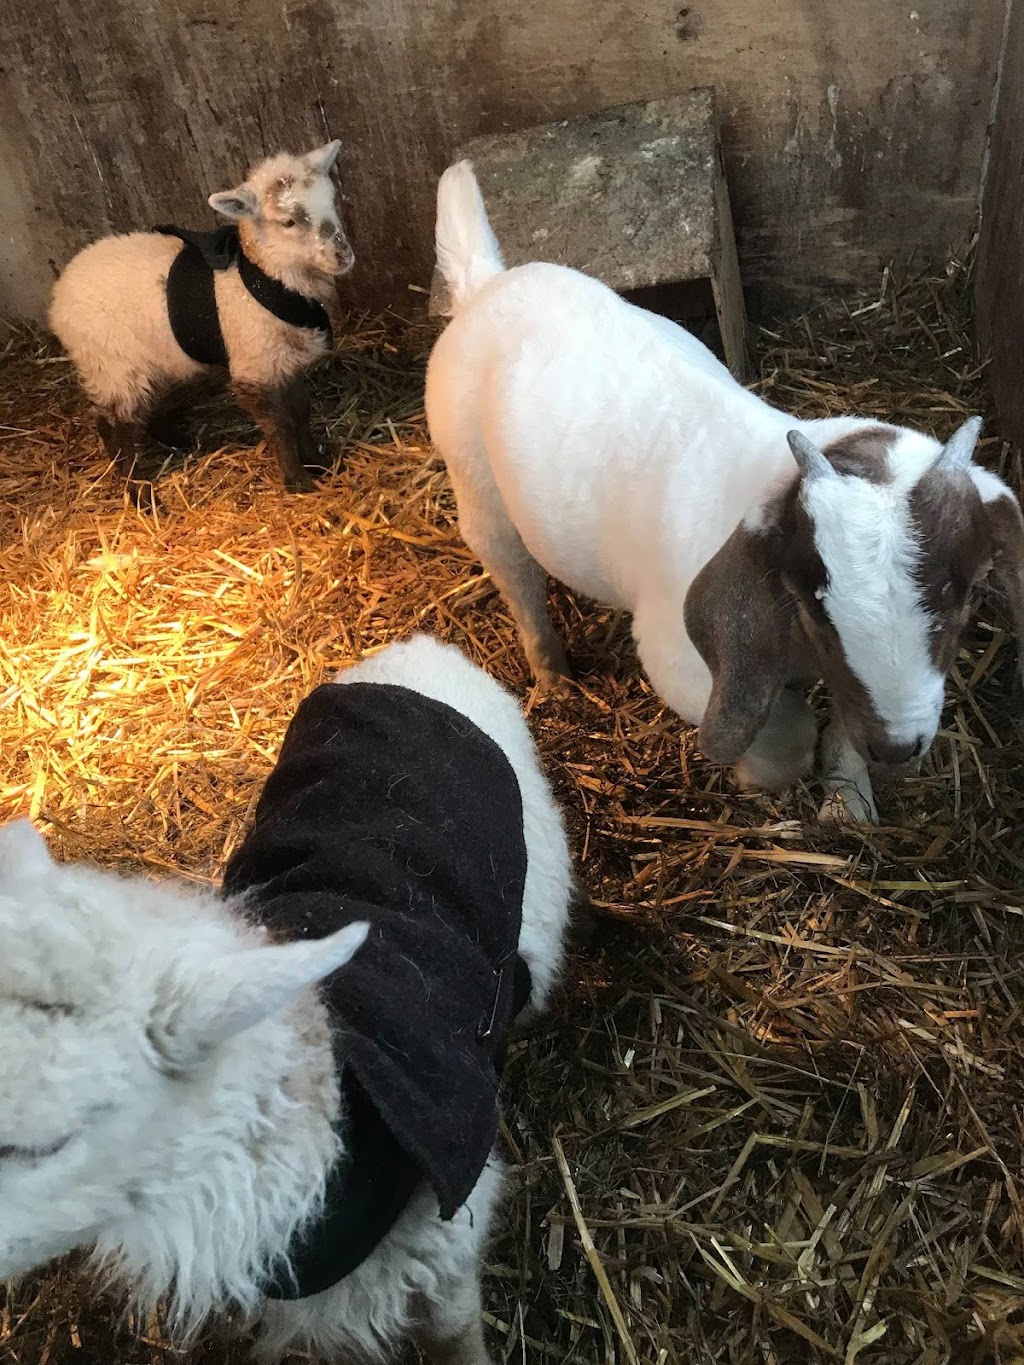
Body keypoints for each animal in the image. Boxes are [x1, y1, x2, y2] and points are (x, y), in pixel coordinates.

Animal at [49, 141, 354, 493]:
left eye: (331, 201)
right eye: (288, 222)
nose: (343, 255)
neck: (263, 276)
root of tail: (59, 293)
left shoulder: (283, 361)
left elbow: (301, 412)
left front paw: (319, 462)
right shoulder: (256, 366)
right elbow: (280, 425)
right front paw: (298, 482)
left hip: (143, 360)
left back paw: (175, 441)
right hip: (111, 363)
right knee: (114, 423)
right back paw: (137, 489)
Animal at [425, 161, 1024, 824]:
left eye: (966, 593)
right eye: (814, 599)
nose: (898, 748)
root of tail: (486, 284)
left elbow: (844, 725)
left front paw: (849, 807)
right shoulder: (681, 661)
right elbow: (783, 734)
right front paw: (762, 780)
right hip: (474, 483)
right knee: (515, 576)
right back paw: (552, 678)